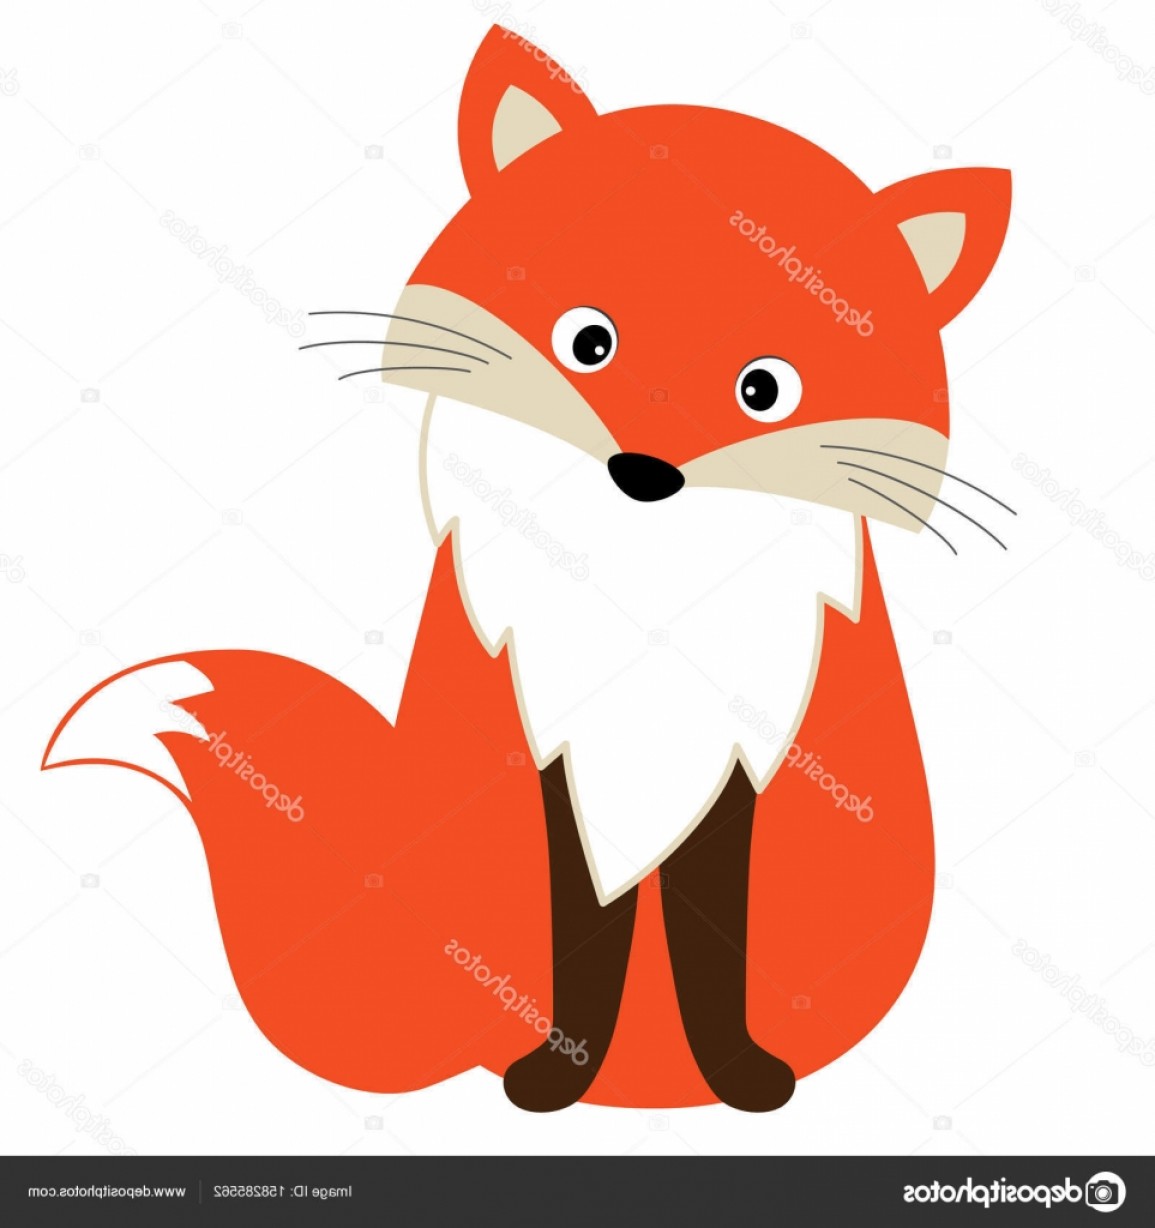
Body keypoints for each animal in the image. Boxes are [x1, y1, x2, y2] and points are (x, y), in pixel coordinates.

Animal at [44, 27, 1012, 1113]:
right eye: (588, 341)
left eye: (763, 390)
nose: (645, 471)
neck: (643, 606)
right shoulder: (546, 757)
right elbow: (581, 931)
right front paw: (559, 1069)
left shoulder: (739, 772)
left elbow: (711, 935)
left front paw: (736, 1070)